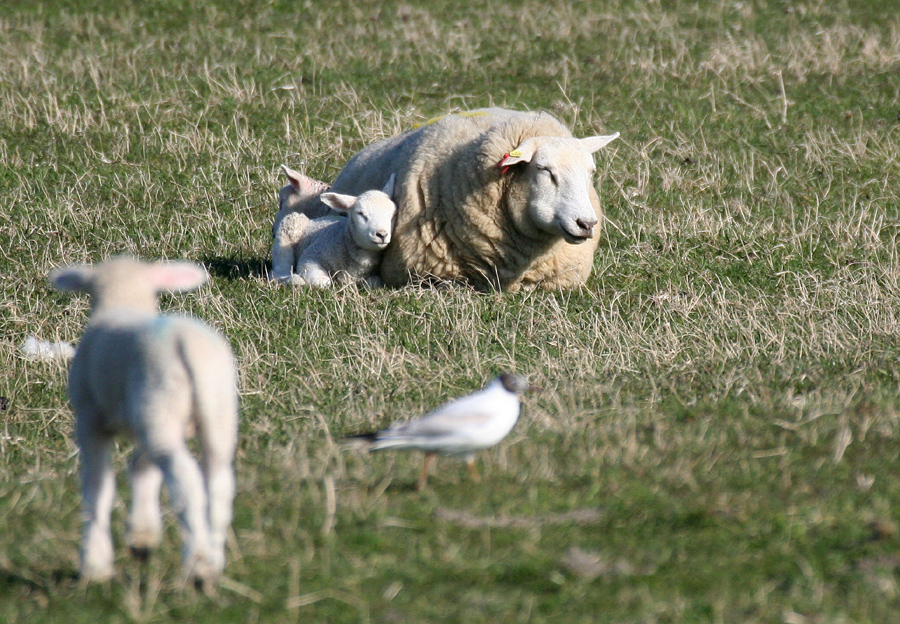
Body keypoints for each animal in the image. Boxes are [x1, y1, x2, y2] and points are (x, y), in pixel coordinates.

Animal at [50, 255, 239, 588]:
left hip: (159, 405)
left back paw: (198, 565)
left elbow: (98, 487)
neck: (124, 299)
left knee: (187, 483)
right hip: (213, 412)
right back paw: (212, 560)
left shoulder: (90, 420)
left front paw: (95, 563)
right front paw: (142, 536)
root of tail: (186, 343)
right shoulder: (144, 419)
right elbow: (141, 467)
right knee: (219, 484)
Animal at [270, 172, 398, 286]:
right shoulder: (310, 256)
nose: (382, 234)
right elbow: (322, 282)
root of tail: (314, 219)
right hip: (287, 229)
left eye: (393, 215)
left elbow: (374, 284)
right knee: (279, 269)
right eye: (361, 213)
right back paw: (293, 279)